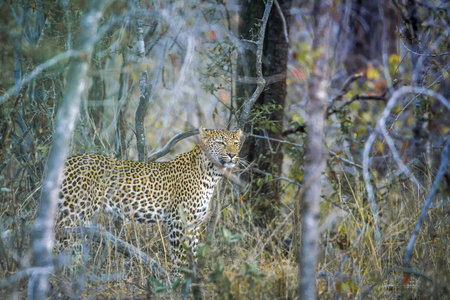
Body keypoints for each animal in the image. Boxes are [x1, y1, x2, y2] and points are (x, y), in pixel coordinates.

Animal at [57, 127, 243, 272]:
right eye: (220, 143)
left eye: (236, 143)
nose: (232, 155)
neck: (211, 176)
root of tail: (68, 160)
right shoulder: (178, 222)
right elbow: (180, 258)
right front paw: (178, 284)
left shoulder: (195, 224)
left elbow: (193, 256)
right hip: (73, 215)